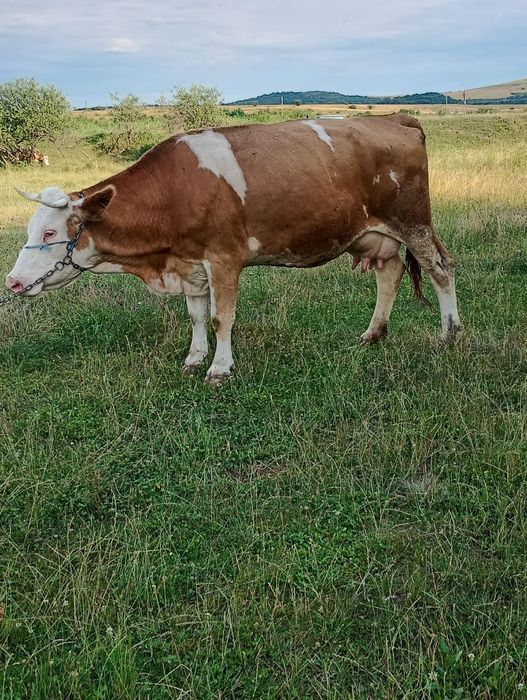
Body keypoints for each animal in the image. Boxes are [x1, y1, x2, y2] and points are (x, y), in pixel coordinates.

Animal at [5, 114, 460, 385]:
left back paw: (449, 334)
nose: (12, 282)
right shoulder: (190, 263)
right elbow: (196, 316)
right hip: (372, 233)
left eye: (50, 232)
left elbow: (222, 317)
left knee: (441, 269)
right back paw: (372, 333)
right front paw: (194, 358)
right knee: (390, 273)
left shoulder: (224, 258)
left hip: (414, 222)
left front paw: (220, 368)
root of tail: (393, 118)